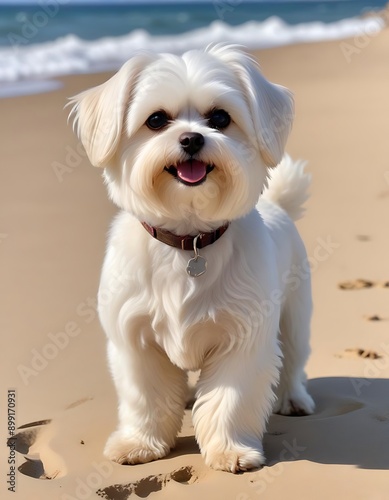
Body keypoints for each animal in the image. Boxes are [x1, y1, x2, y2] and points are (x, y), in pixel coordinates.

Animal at [68, 44, 314, 472]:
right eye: (155, 120)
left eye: (220, 118)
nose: (191, 139)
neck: (188, 238)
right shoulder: (135, 340)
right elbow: (145, 398)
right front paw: (140, 443)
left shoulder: (244, 338)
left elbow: (230, 398)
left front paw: (230, 448)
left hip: (295, 318)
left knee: (293, 361)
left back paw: (294, 398)